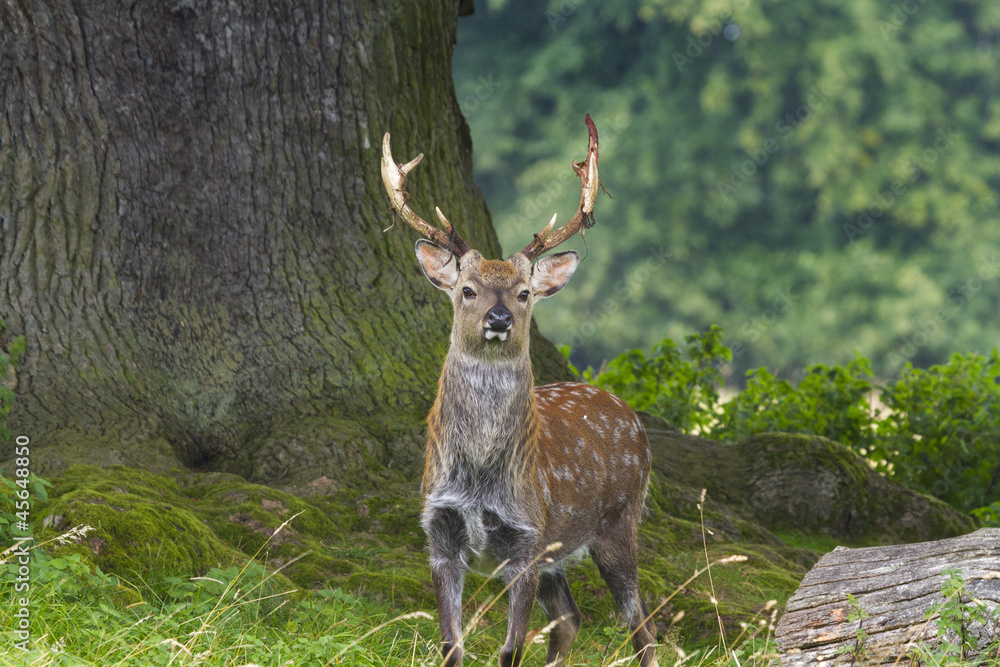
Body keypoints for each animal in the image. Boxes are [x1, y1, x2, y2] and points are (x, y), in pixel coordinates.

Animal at [379, 116, 658, 667]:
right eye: (467, 289)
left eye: (524, 292)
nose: (499, 317)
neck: (479, 477)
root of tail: (633, 418)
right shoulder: (439, 536)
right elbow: (452, 645)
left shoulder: (527, 539)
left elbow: (509, 649)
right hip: (562, 554)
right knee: (571, 618)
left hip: (619, 521)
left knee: (643, 626)